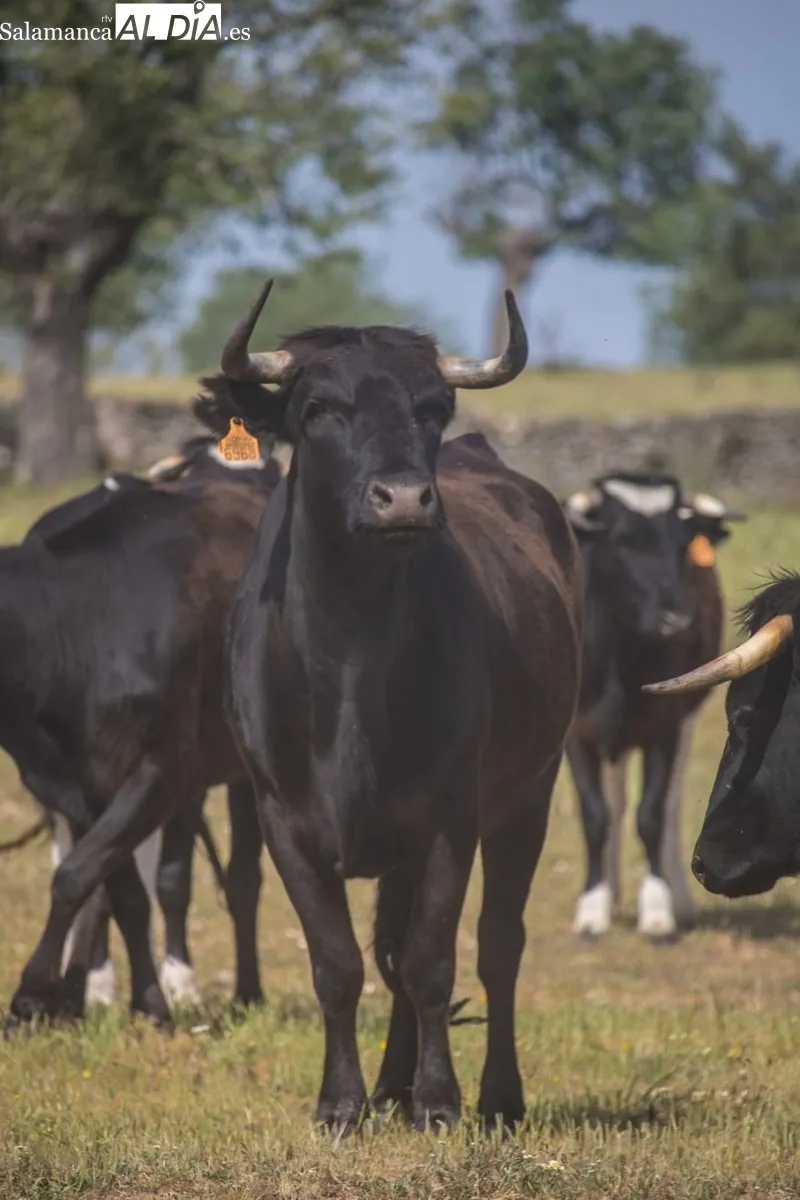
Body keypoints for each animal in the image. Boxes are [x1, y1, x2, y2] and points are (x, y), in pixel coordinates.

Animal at [4, 422, 280, 1030]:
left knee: (242, 878)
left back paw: (248, 992)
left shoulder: (165, 770)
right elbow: (116, 888)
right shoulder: (79, 785)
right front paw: (142, 1001)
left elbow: (82, 877)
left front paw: (34, 993)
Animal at [213, 279, 582, 1134]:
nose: (405, 499)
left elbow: (430, 960)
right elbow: (341, 965)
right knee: (387, 950)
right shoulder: (283, 822)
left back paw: (495, 1096)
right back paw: (391, 1087)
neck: (349, 664)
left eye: (431, 408)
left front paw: (441, 1102)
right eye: (319, 409)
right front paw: (343, 1102)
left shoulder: (450, 818)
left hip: (530, 794)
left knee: (497, 945)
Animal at [563, 472, 744, 941]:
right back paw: (611, 890)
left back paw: (679, 900)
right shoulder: (577, 735)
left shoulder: (665, 728)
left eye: (682, 544)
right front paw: (593, 906)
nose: (678, 621)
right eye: (622, 541)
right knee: (614, 801)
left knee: (671, 805)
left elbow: (652, 815)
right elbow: (595, 817)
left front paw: (658, 908)